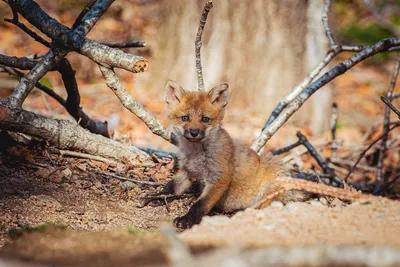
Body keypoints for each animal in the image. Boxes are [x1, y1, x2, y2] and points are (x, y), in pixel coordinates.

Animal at [148, 80, 308, 229]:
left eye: (205, 119)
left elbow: (200, 205)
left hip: (271, 181)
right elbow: (170, 187)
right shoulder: (187, 171)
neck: (196, 154)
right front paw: (155, 197)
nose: (194, 132)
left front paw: (188, 219)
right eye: (185, 118)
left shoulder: (220, 178)